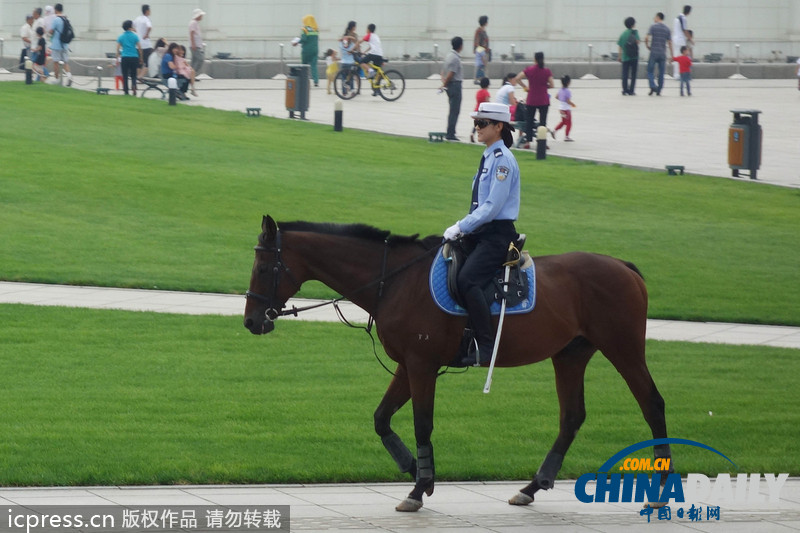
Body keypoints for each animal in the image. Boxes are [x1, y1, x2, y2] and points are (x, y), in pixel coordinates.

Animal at [244, 215, 668, 512]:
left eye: (263, 269)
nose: (251, 321)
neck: (394, 280)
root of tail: (623, 267)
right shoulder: (408, 364)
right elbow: (382, 418)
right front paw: (415, 468)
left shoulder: (422, 365)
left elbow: (422, 423)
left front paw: (419, 486)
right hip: (570, 354)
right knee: (572, 417)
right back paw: (532, 486)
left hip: (623, 348)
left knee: (652, 404)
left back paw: (662, 488)